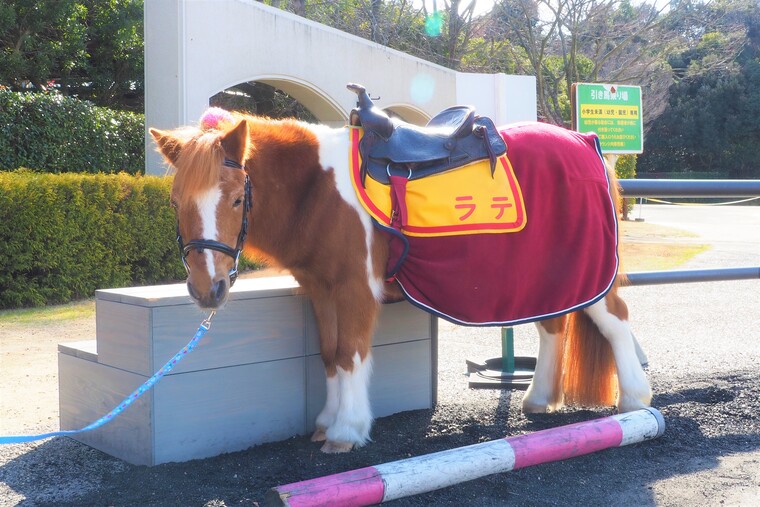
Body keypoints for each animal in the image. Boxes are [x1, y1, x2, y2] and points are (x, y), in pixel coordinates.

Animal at [149, 104, 652, 454]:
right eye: (174, 201)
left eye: (237, 199)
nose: (206, 289)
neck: (318, 188)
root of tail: (586, 140)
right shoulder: (320, 289)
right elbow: (329, 354)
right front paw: (326, 422)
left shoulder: (354, 288)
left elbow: (349, 354)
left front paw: (347, 430)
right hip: (550, 277)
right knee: (553, 325)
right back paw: (540, 397)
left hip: (586, 270)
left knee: (616, 319)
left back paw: (634, 399)